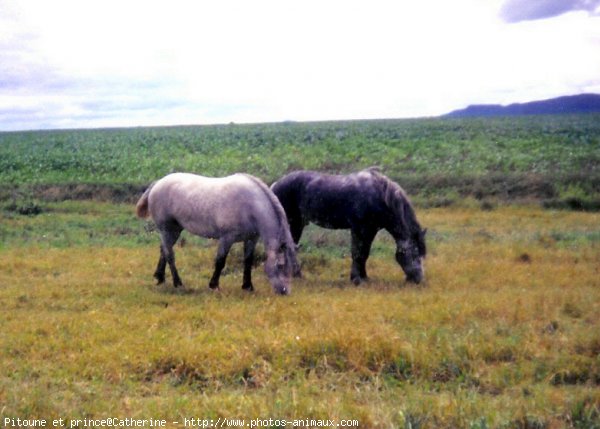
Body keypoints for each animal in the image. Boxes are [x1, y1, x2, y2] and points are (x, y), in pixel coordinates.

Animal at [135, 171, 296, 294]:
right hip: (166, 229)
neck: (249, 205)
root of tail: (157, 183)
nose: (284, 291)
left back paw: (160, 277)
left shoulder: (251, 239)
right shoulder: (227, 238)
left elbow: (248, 261)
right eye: (280, 266)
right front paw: (214, 285)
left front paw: (248, 286)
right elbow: (220, 261)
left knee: (163, 250)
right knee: (169, 254)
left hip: (175, 230)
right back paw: (177, 283)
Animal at [270, 167, 428, 284]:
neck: (379, 196)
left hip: (297, 224)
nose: (418, 280)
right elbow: (358, 253)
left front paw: (364, 277)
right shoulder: (360, 229)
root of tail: (275, 185)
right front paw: (356, 278)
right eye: (414, 252)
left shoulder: (371, 230)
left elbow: (364, 254)